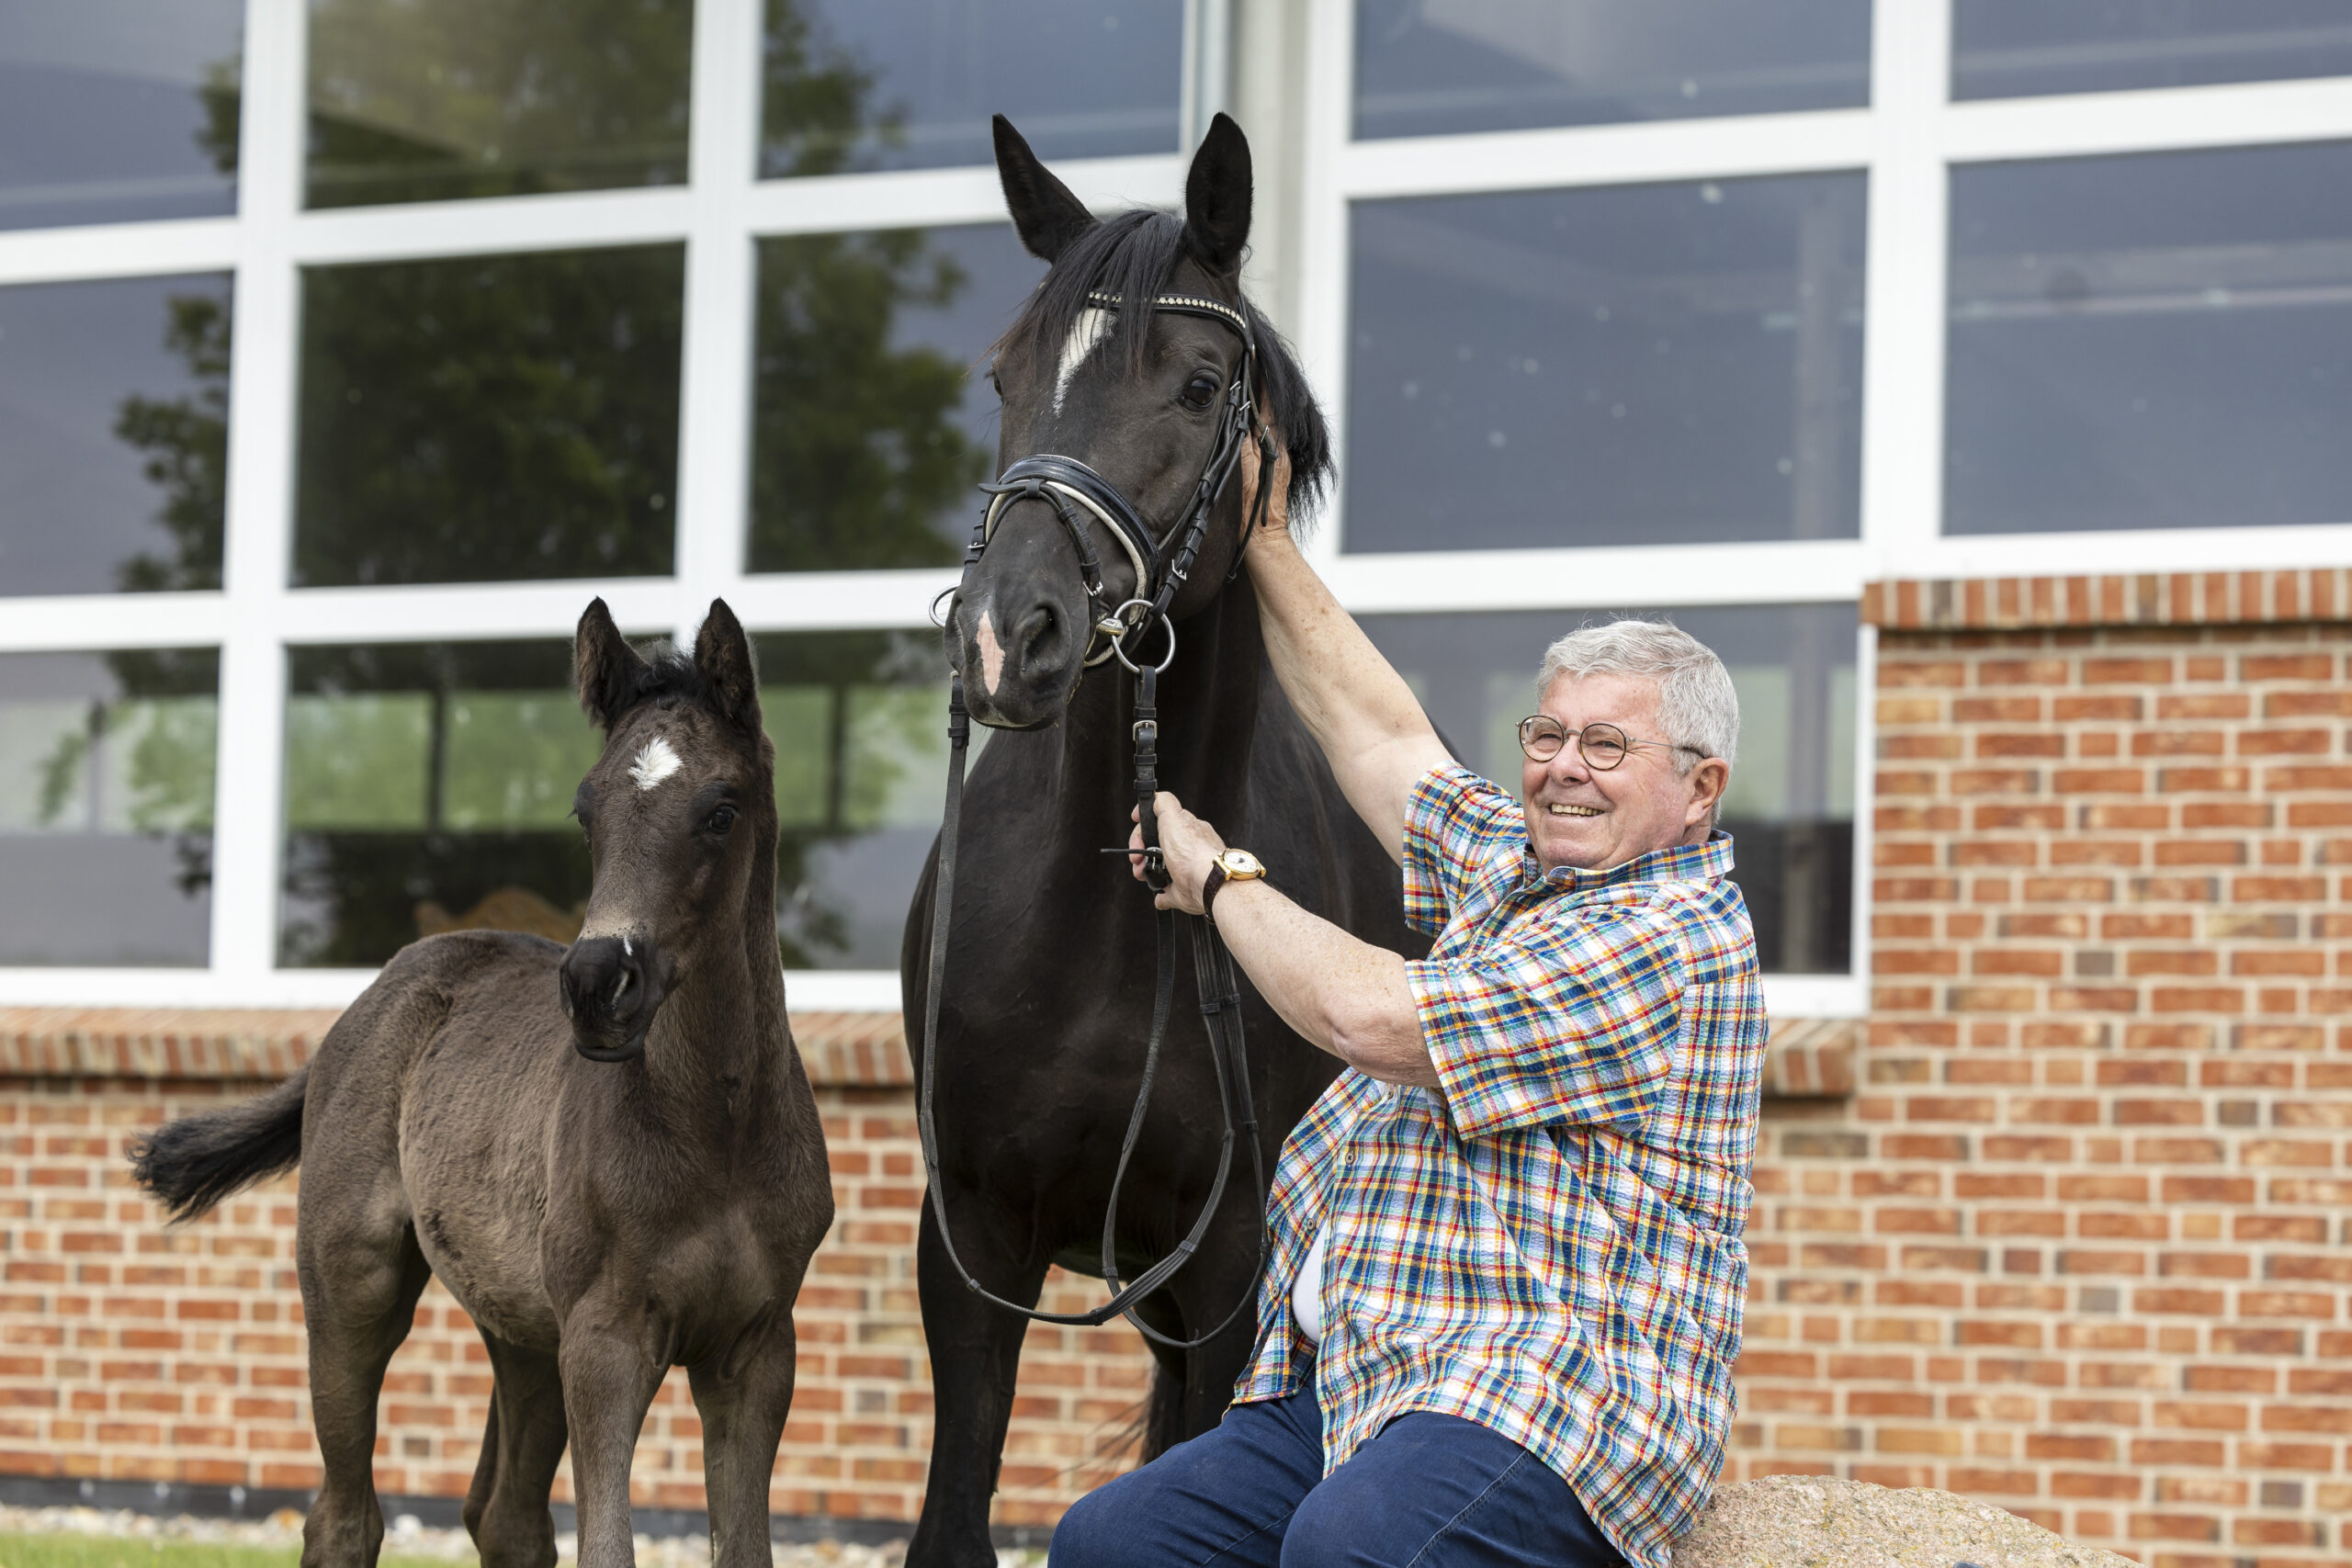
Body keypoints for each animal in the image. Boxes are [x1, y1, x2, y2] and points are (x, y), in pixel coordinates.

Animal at [131, 599, 833, 1568]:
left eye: (721, 810)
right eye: (585, 810)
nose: (597, 985)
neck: (716, 1127)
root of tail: (377, 990)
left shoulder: (757, 1349)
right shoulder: (606, 1340)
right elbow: (606, 1546)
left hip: (523, 1327)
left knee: (504, 1516)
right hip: (356, 1287)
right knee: (345, 1517)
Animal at [900, 114, 1428, 1567]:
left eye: (1198, 387)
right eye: (1005, 375)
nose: (1002, 636)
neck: (1100, 919)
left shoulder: (1229, 1266)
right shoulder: (970, 1241)